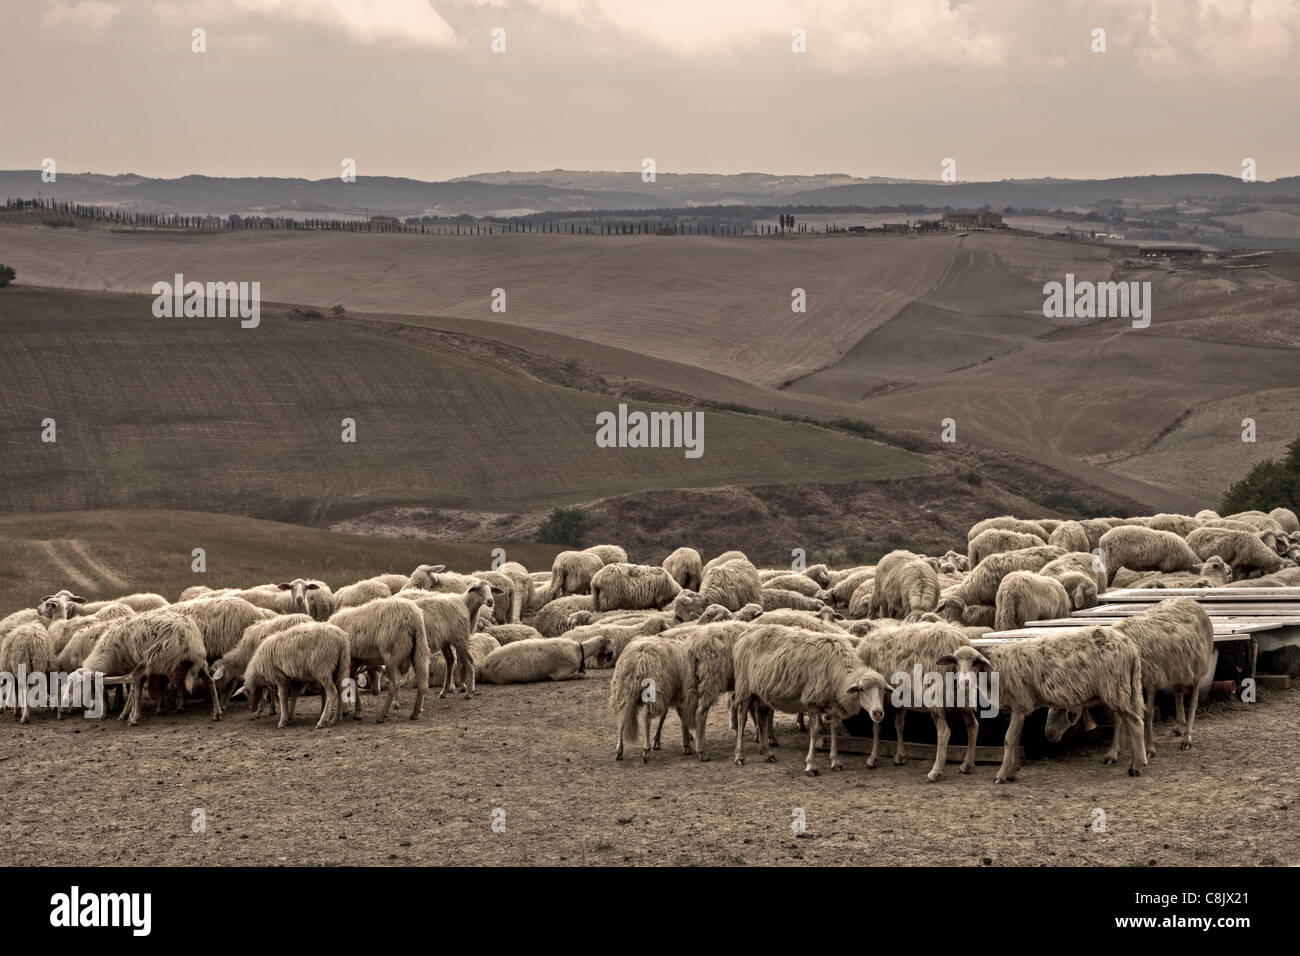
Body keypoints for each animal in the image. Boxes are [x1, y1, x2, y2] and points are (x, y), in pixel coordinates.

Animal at [327, 595, 428, 723]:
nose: (375, 692)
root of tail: (413, 616)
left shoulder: (350, 662)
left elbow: (351, 684)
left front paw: (353, 711)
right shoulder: (355, 662)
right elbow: (352, 683)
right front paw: (353, 710)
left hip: (390, 655)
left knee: (394, 684)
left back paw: (382, 715)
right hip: (419, 650)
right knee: (422, 682)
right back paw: (416, 713)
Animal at [611, 634, 696, 764]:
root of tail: (639, 658)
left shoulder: (670, 694)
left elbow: (665, 715)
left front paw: (657, 739)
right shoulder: (680, 694)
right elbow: (681, 718)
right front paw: (686, 744)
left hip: (623, 689)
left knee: (622, 718)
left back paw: (619, 750)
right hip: (653, 689)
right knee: (646, 718)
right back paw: (646, 750)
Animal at [852, 621, 977, 785]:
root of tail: (956, 640)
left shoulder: (881, 698)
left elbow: (877, 727)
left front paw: (873, 759)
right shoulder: (900, 697)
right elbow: (899, 725)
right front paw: (900, 756)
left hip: (935, 696)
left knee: (944, 732)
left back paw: (935, 772)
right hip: (964, 696)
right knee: (973, 725)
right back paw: (967, 765)